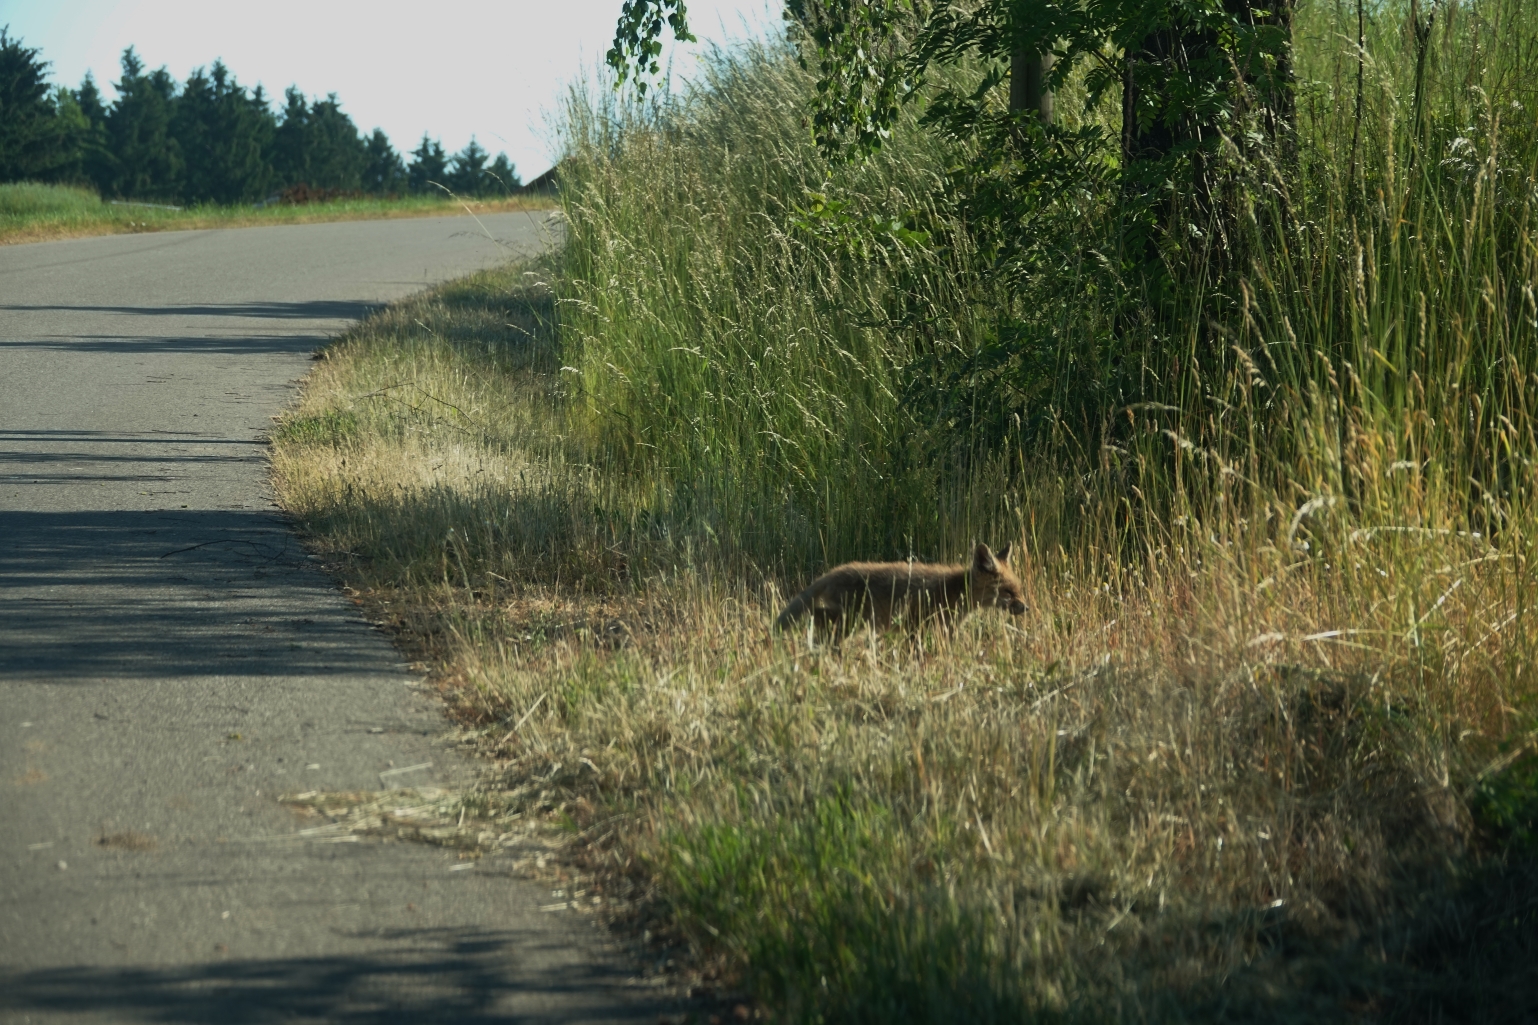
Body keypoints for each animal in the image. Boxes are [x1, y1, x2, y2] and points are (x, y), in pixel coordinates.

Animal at [775, 541, 1027, 631]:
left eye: (1019, 590)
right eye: (1007, 591)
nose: (1026, 608)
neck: (956, 591)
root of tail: (833, 572)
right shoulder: (915, 625)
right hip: (852, 620)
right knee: (815, 613)